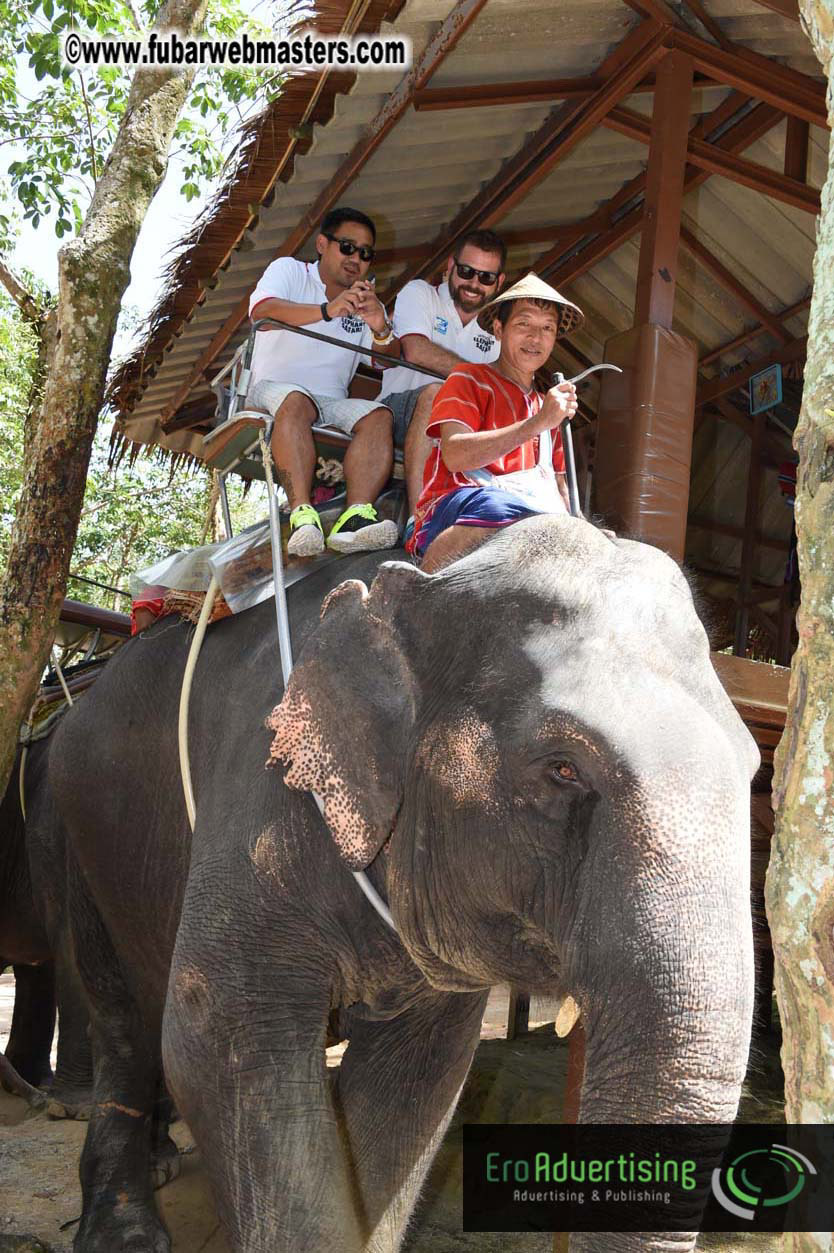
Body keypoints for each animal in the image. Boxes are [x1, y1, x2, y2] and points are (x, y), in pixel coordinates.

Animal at [45, 513, 758, 1253]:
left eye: (755, 768)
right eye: (562, 768)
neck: (429, 579)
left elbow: (417, 1079)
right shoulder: (264, 794)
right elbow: (218, 1037)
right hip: (77, 830)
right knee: (122, 1015)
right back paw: (125, 1227)